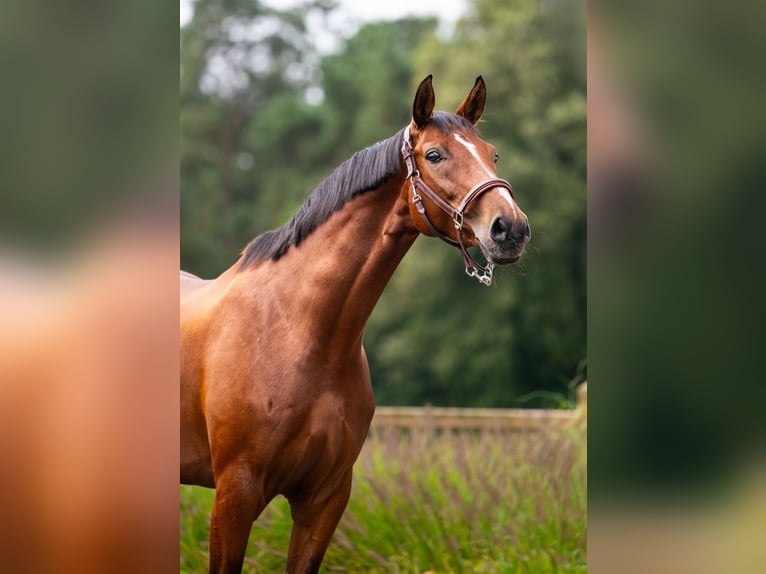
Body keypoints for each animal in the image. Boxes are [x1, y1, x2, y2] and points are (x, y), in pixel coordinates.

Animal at [181, 76, 532, 574]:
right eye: (434, 155)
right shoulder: (235, 494)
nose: (510, 229)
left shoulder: (325, 499)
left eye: (493, 153)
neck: (298, 332)